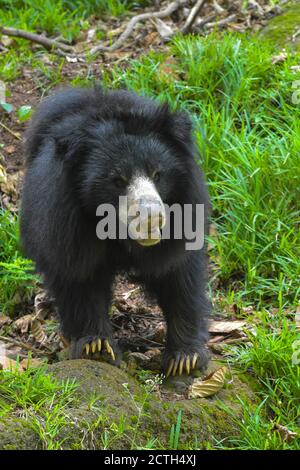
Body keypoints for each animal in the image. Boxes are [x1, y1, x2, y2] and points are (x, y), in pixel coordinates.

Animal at [20, 86, 211, 376]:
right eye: (118, 180)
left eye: (158, 174)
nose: (152, 218)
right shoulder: (67, 227)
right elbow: (80, 278)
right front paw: (96, 347)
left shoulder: (184, 217)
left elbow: (180, 277)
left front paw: (185, 358)